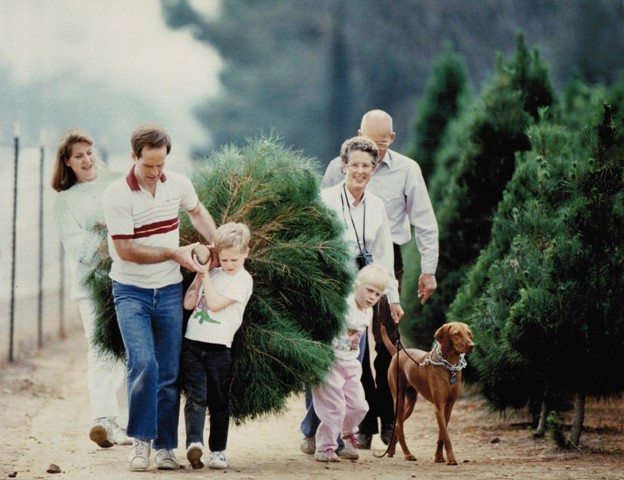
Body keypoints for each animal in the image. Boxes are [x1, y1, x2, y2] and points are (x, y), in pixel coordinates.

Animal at [380, 322, 472, 464]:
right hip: (399, 399)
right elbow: (446, 436)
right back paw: (407, 454)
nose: (472, 345)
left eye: (469, 333)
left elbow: (441, 435)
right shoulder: (439, 406)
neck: (449, 366)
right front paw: (451, 458)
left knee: (397, 424)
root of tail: (397, 353)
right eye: (457, 334)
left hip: (410, 404)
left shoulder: (448, 407)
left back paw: (391, 450)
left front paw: (439, 457)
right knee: (400, 426)